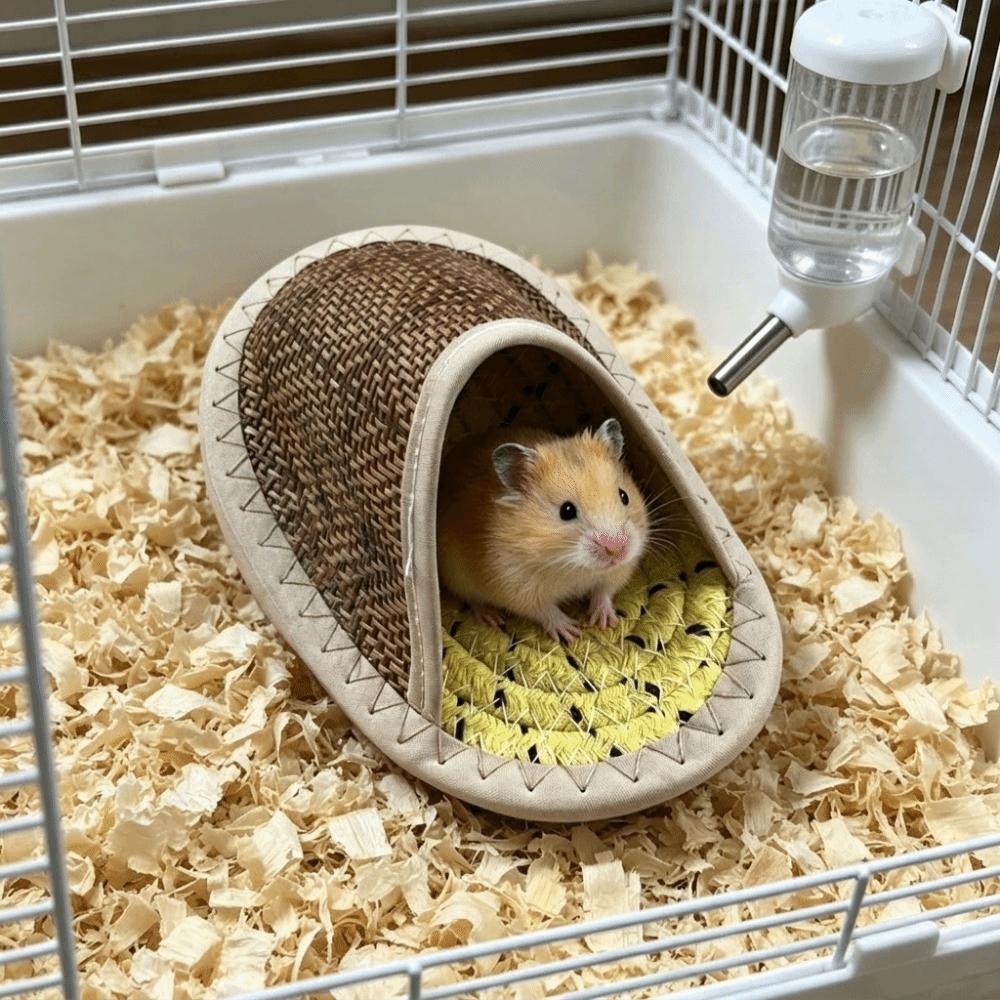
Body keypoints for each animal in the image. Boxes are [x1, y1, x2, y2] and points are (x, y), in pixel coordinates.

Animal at [437, 418, 649, 644]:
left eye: (624, 496)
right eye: (566, 511)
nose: (616, 551)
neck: (573, 567)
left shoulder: (618, 571)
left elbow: (603, 592)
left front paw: (605, 622)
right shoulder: (516, 587)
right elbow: (545, 610)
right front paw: (573, 633)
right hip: (458, 576)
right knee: (473, 599)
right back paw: (491, 617)